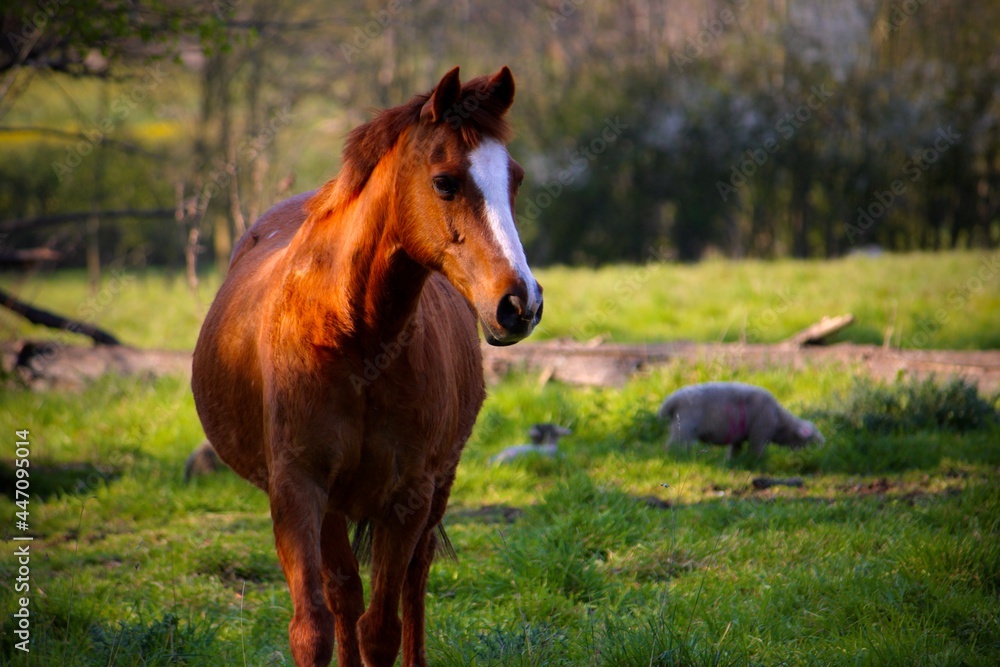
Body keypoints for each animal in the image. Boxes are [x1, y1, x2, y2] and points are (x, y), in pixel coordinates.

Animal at [191, 66, 542, 667]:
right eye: (445, 181)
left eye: (513, 179)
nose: (520, 304)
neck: (356, 339)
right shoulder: (298, 490)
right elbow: (316, 626)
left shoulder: (408, 497)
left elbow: (382, 628)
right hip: (334, 507)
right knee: (344, 595)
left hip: (437, 485)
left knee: (413, 583)